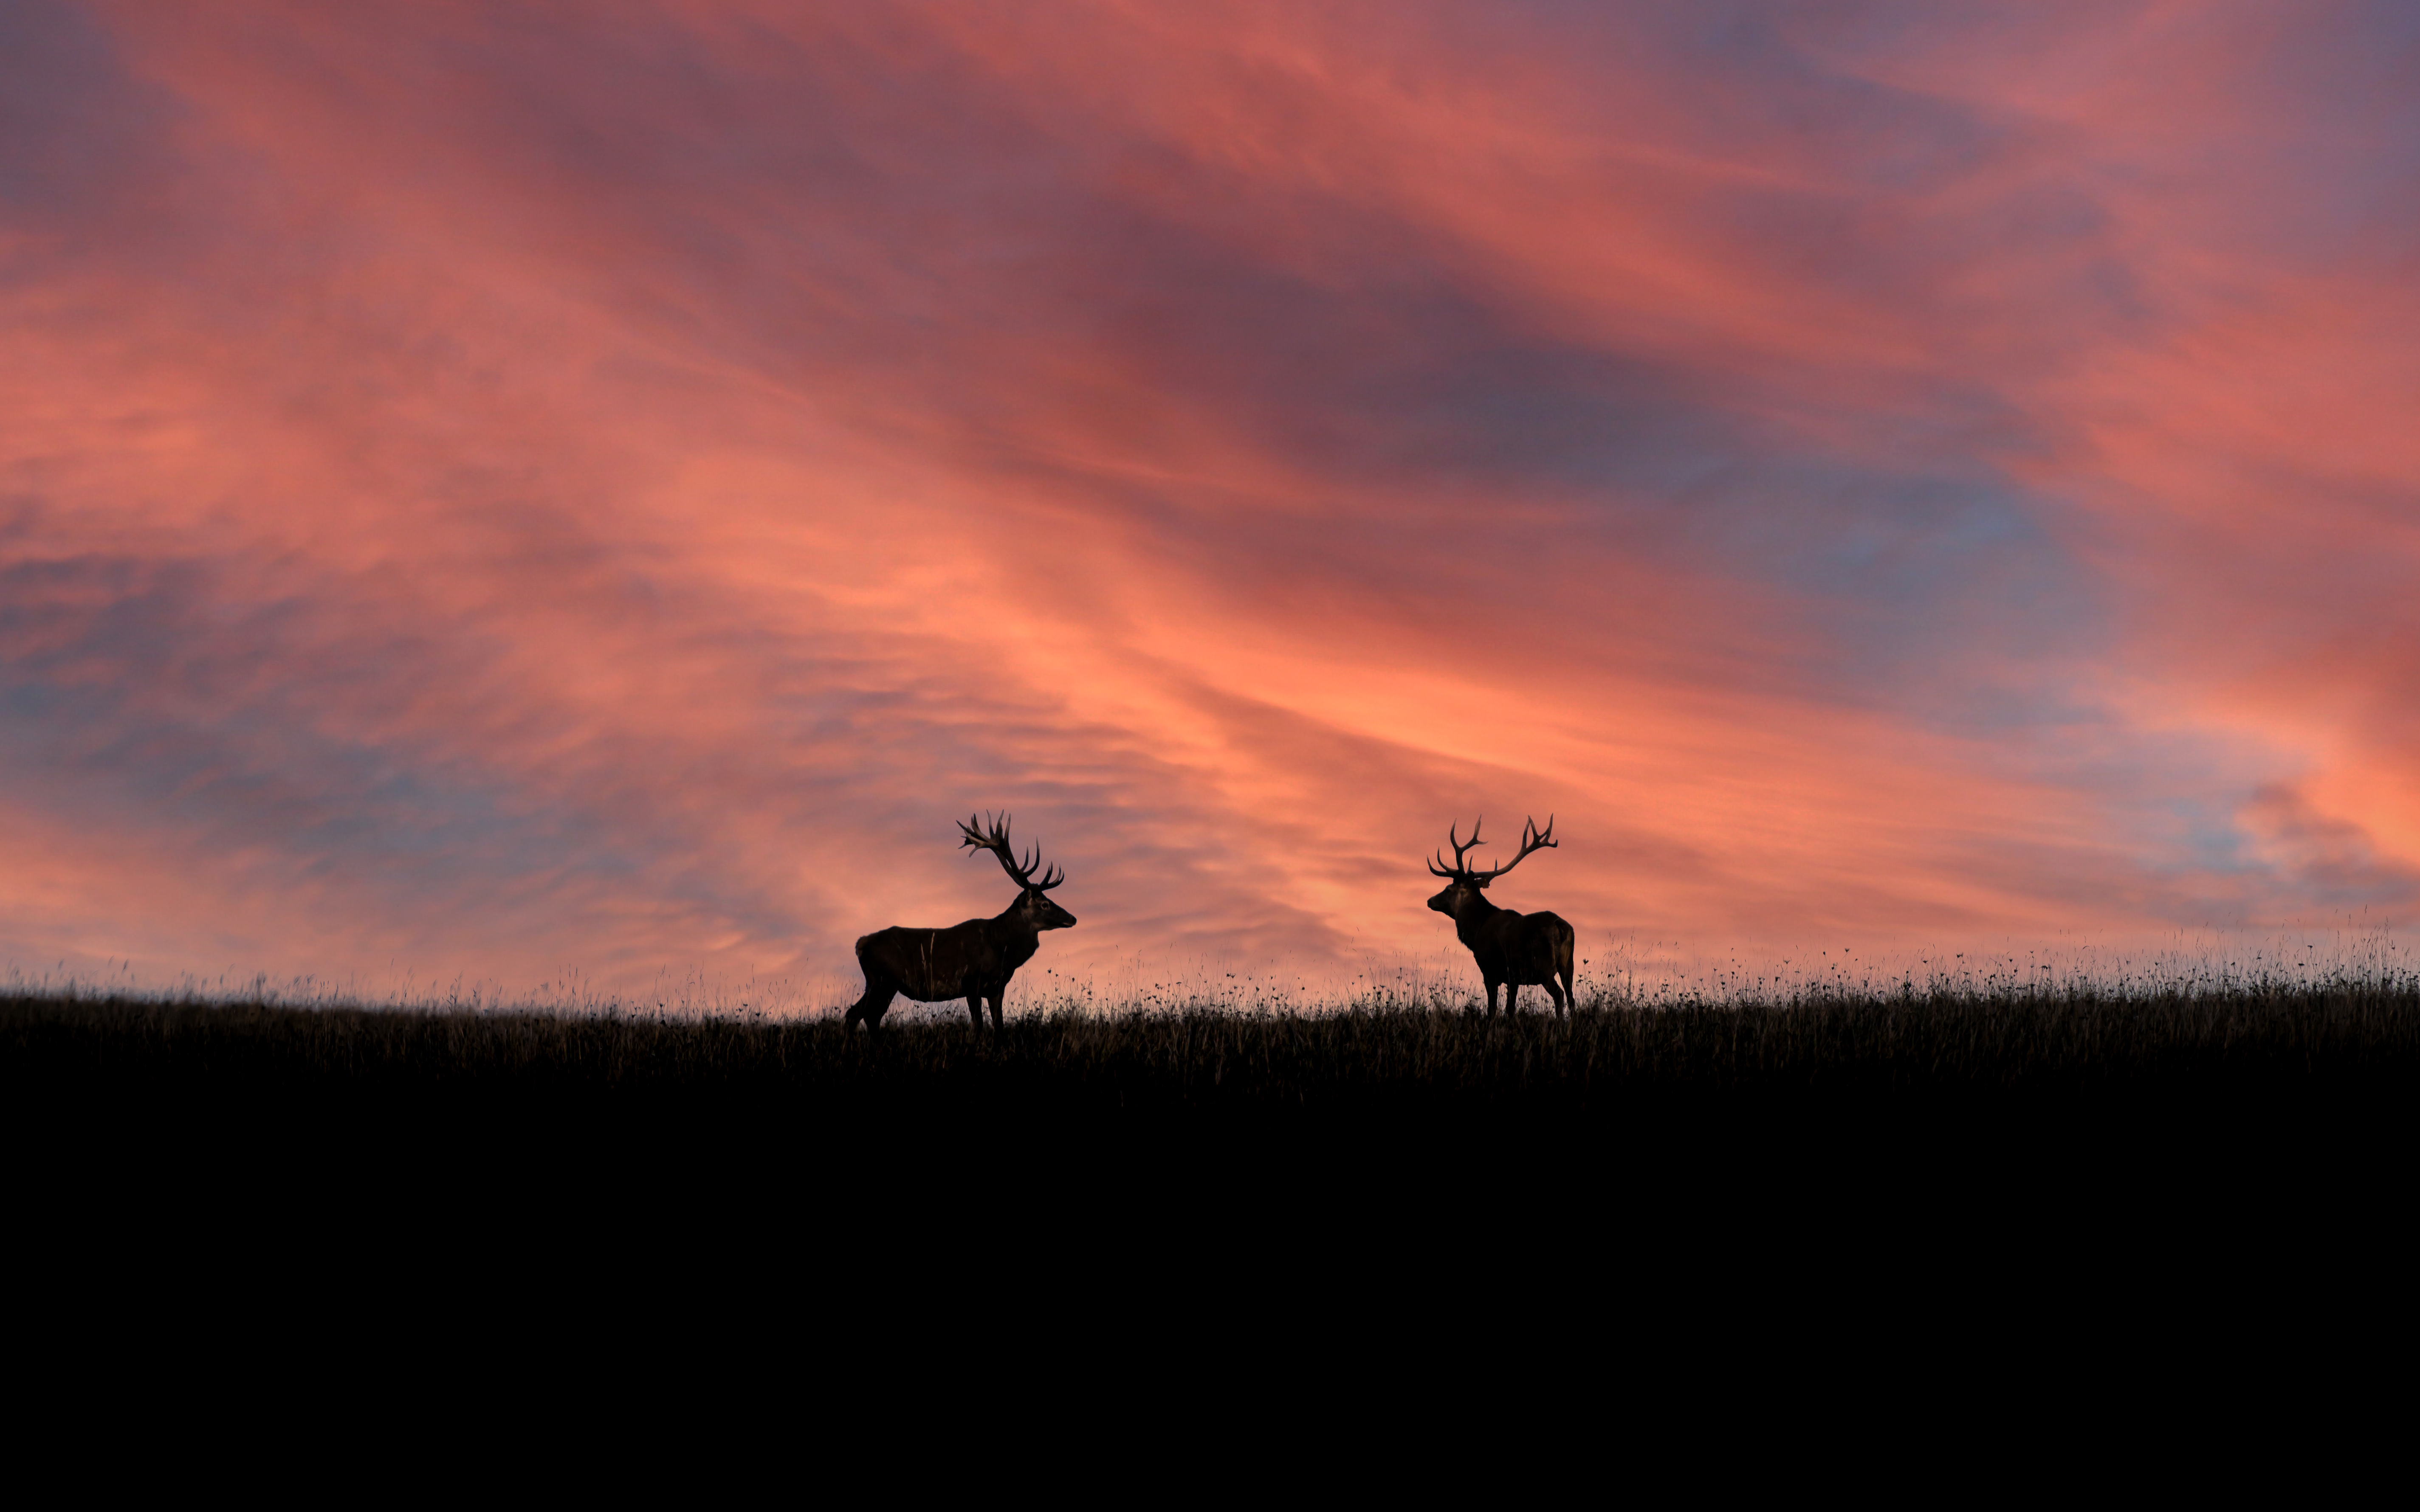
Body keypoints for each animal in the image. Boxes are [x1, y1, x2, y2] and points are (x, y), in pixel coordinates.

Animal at [852, 808, 1079, 1031]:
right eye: (1045, 904)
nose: (1073, 918)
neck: (1001, 948)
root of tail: (860, 944)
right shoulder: (971, 982)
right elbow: (978, 1027)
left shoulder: (997, 988)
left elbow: (999, 1028)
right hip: (885, 980)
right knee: (869, 1017)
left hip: (875, 983)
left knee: (854, 1013)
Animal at [1423, 813, 1578, 1016]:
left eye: (1448, 889)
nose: (1430, 900)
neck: (1476, 930)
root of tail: (1561, 927)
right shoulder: (1514, 977)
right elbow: (1510, 1009)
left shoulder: (1490, 969)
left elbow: (1493, 1009)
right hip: (1569, 965)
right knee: (1572, 997)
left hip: (1543, 966)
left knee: (1559, 995)